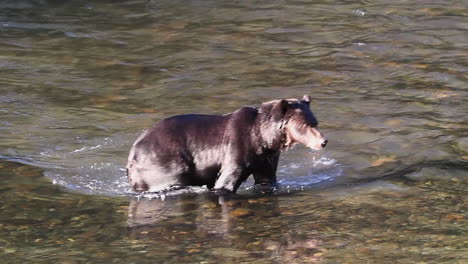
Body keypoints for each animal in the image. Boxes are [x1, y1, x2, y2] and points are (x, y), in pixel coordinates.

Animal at [126, 95, 328, 194]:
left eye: (315, 122)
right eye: (305, 125)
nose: (323, 141)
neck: (263, 137)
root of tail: (132, 153)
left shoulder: (265, 157)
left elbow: (266, 178)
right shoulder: (237, 146)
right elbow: (226, 181)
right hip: (165, 161)